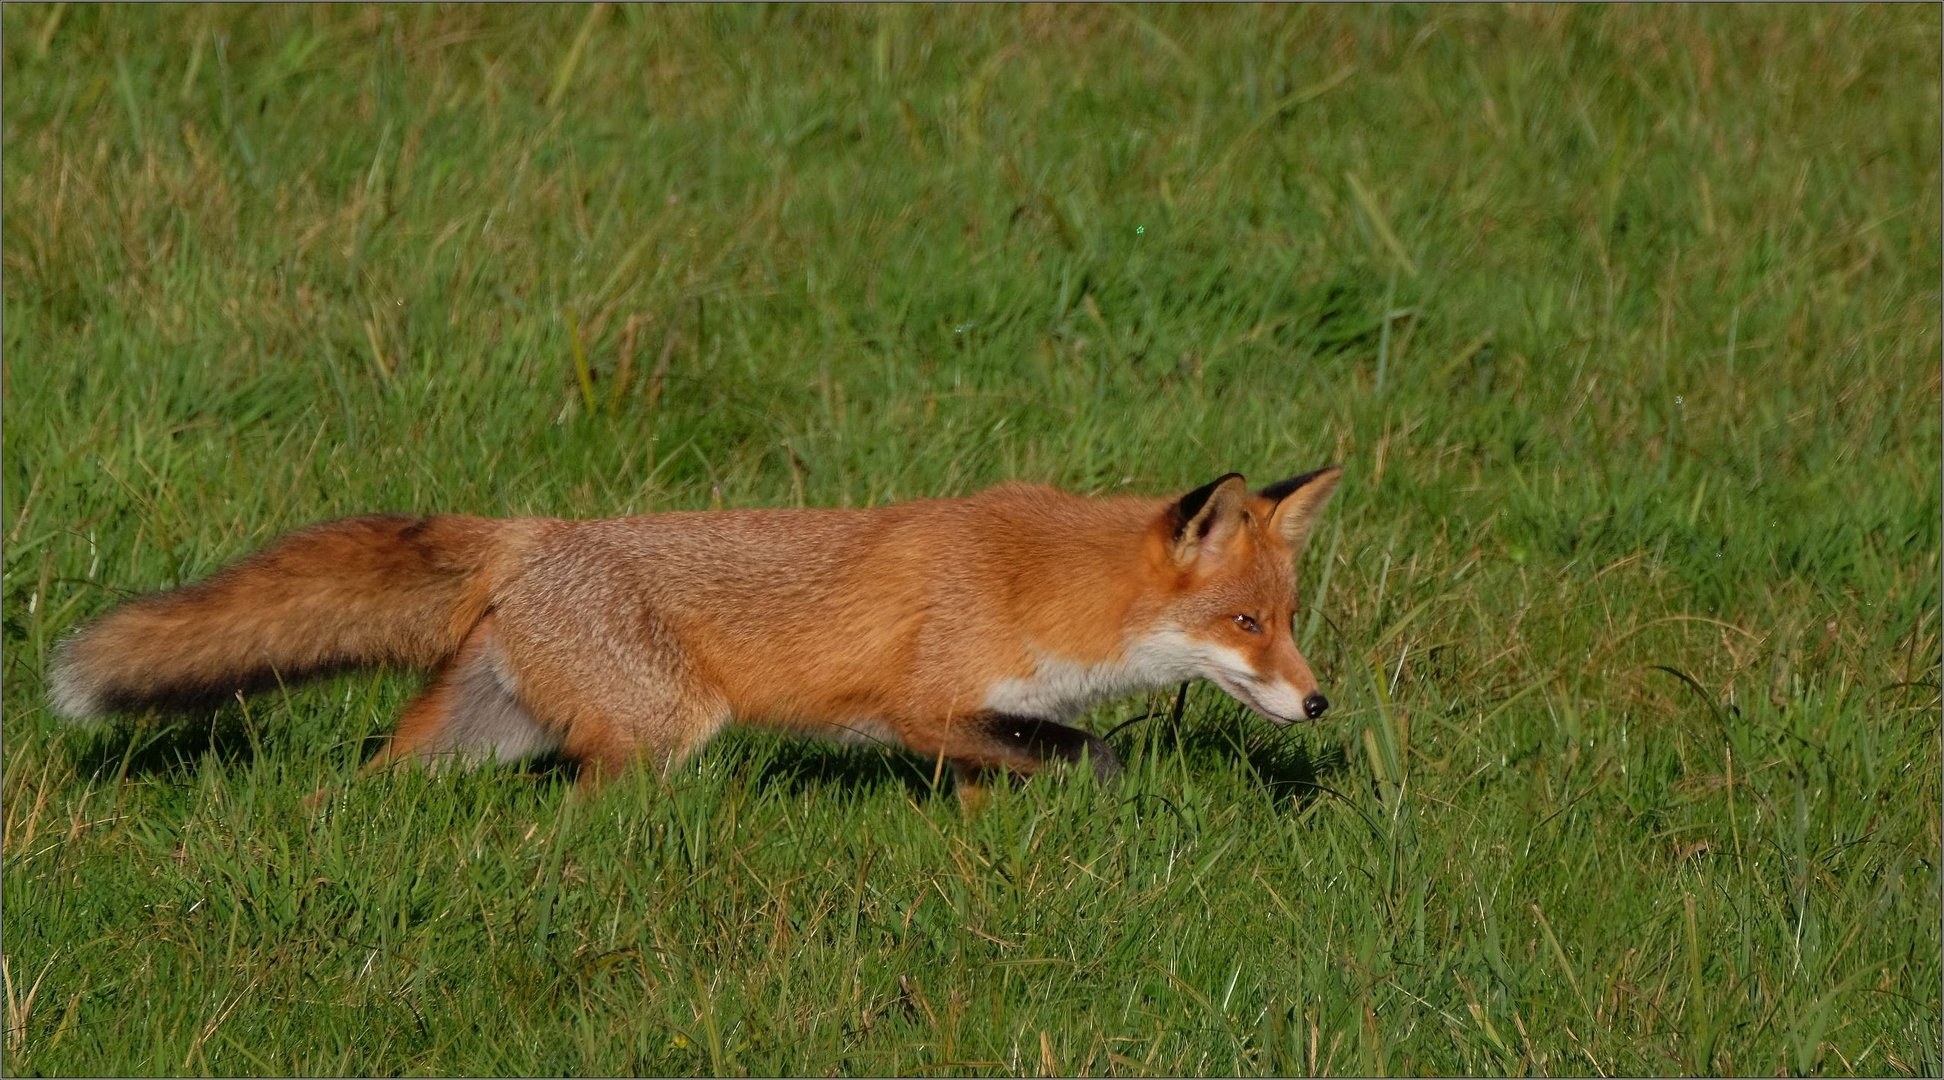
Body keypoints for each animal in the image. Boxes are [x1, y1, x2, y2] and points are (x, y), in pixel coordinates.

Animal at [53, 466, 1345, 792]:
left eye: (1288, 622)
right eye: (1244, 622)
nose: (1321, 701)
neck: (1039, 585)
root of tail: (535, 531)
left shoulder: (976, 729)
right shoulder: (924, 707)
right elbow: (1094, 756)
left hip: (477, 736)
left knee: (370, 785)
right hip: (659, 730)